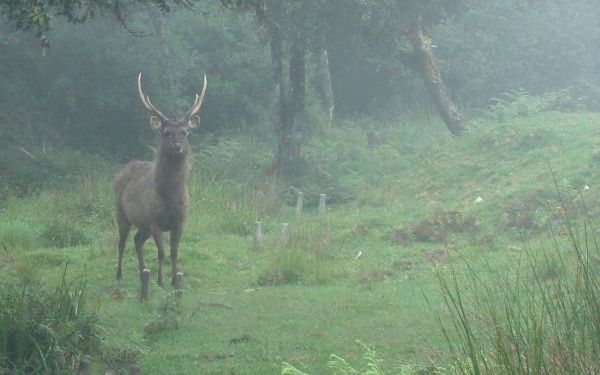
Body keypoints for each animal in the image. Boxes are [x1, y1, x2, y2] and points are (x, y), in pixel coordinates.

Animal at [114, 73, 206, 288]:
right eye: (166, 132)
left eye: (185, 132)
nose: (177, 147)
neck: (170, 198)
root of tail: (122, 171)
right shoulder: (155, 221)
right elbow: (162, 253)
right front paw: (160, 280)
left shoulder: (180, 221)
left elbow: (174, 252)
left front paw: (174, 280)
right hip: (121, 212)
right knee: (122, 242)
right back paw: (119, 274)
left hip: (143, 225)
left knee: (137, 240)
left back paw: (142, 273)